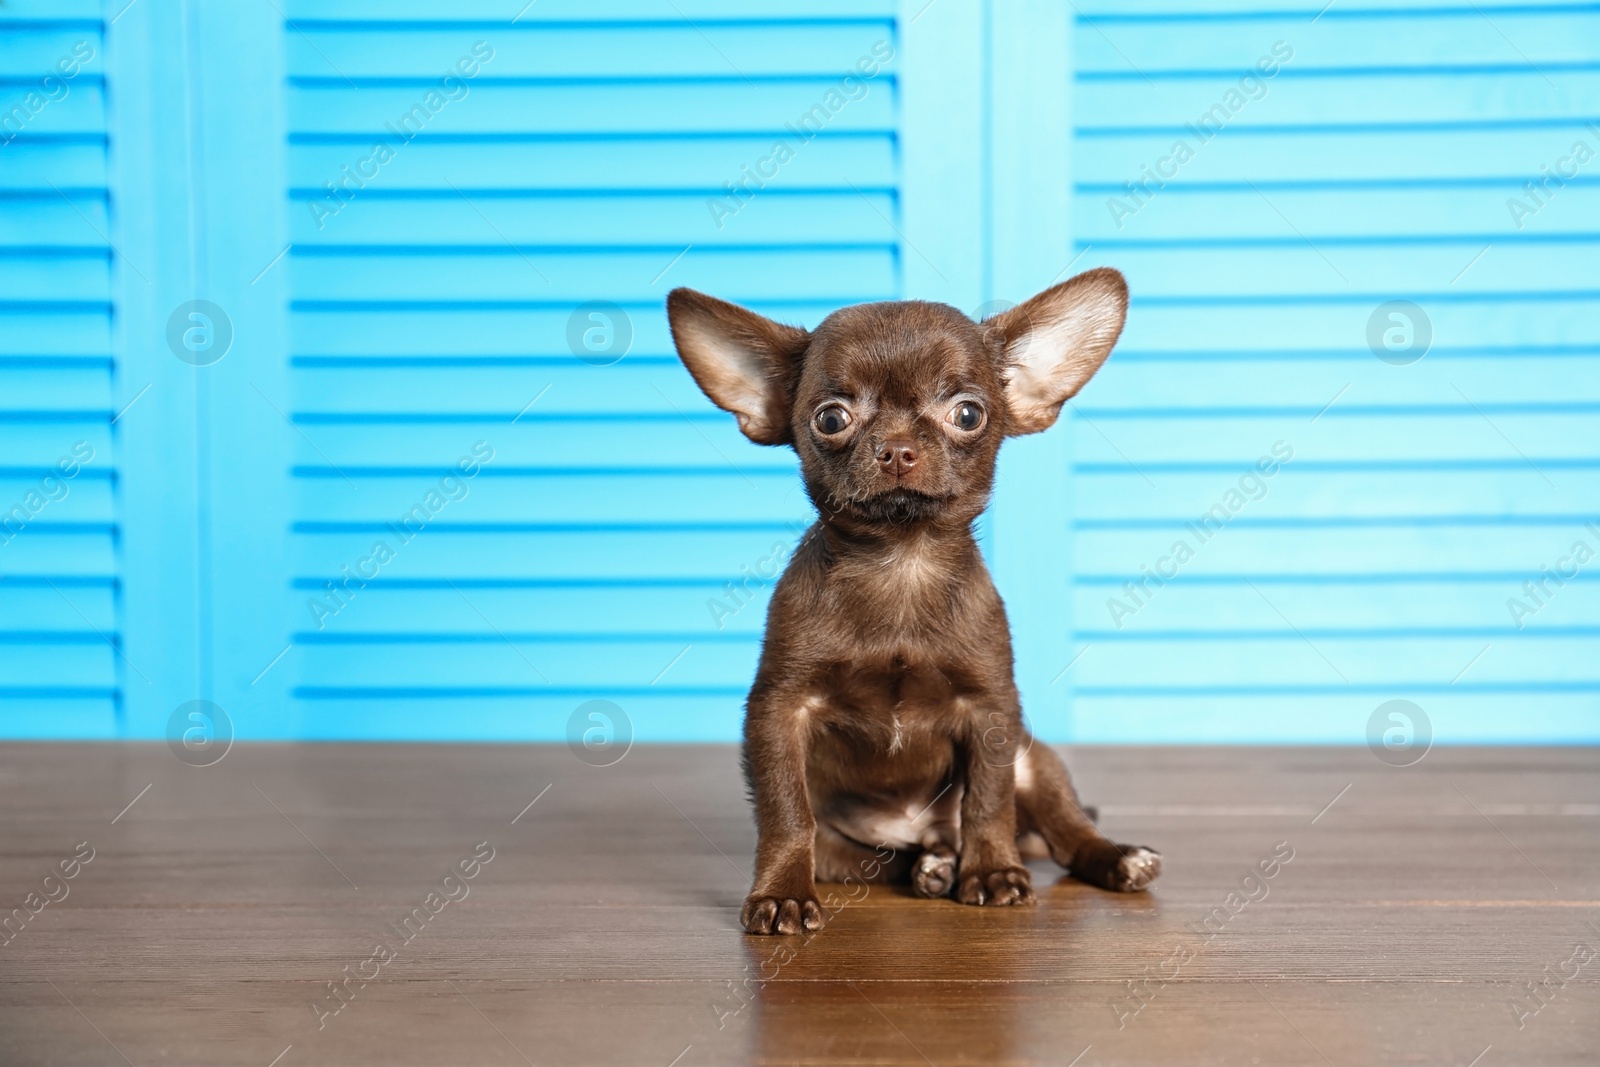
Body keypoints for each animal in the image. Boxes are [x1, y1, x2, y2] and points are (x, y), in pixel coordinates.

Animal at [665, 268, 1164, 934]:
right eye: (830, 418)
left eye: (968, 413)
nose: (899, 446)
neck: (902, 564)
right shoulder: (778, 713)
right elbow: (787, 814)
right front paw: (781, 895)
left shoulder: (992, 712)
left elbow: (987, 803)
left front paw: (993, 872)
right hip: (851, 849)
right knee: (879, 857)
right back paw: (933, 867)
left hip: (1036, 763)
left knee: (1062, 831)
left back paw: (1110, 858)